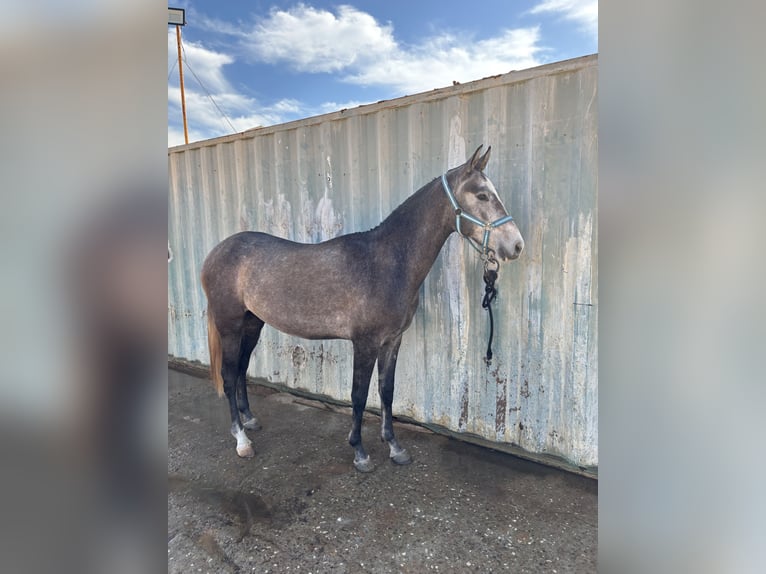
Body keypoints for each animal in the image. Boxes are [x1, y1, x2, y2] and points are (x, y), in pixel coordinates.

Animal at [201, 145, 524, 472]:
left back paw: (250, 420)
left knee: (242, 368)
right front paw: (359, 452)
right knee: (229, 374)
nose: (516, 245)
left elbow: (386, 391)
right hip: (230, 326)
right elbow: (358, 395)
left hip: (253, 323)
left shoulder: (392, 340)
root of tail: (217, 252)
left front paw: (394, 447)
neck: (386, 262)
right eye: (482, 195)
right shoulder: (365, 342)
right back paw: (242, 440)